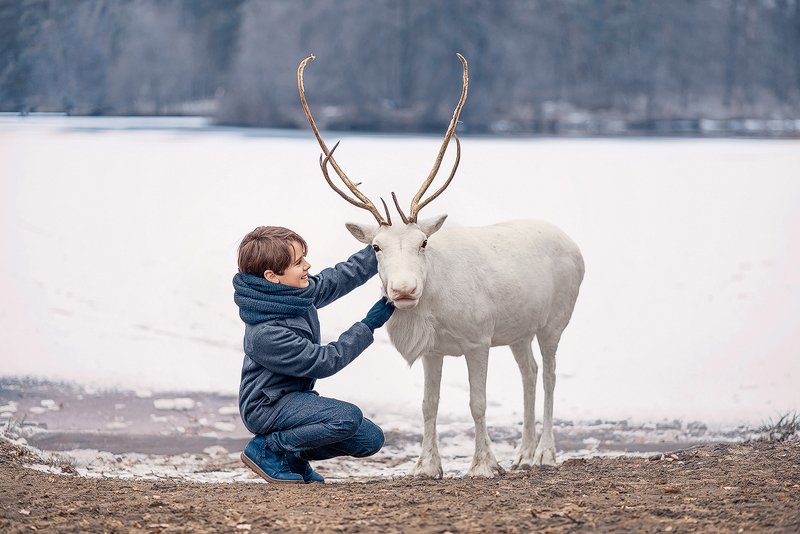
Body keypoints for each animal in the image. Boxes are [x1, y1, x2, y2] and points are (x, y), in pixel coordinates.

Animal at [297, 53, 584, 478]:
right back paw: (523, 454)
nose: (403, 289)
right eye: (376, 247)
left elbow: (477, 402)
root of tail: (574, 245)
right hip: (518, 329)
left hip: (555, 321)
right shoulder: (433, 350)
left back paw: (546, 453)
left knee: (548, 375)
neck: (436, 303)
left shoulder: (478, 339)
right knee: (529, 373)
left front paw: (482, 465)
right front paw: (427, 466)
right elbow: (428, 405)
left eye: (423, 242)